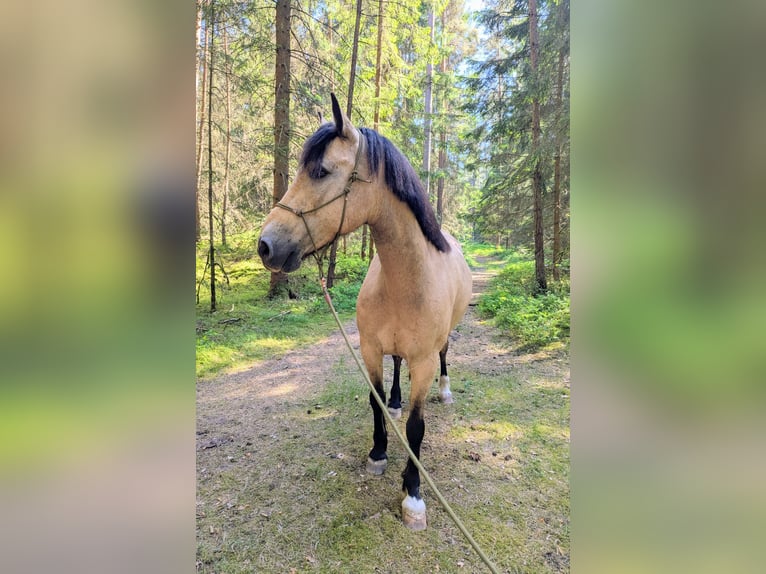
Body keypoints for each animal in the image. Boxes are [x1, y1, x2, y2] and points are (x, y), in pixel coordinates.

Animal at [258, 93, 472, 530]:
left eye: (321, 171)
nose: (265, 245)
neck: (405, 281)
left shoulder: (423, 361)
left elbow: (416, 426)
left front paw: (413, 493)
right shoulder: (370, 348)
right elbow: (376, 401)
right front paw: (377, 454)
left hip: (441, 346)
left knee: (445, 356)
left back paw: (445, 391)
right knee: (396, 367)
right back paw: (396, 400)